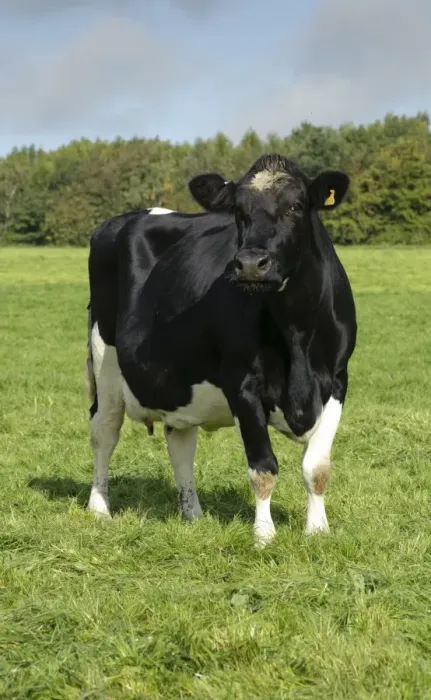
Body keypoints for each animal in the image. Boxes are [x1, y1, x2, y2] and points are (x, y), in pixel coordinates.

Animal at [86, 154, 357, 546]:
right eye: (239, 211)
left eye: (296, 206)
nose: (250, 264)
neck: (297, 330)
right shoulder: (242, 385)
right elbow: (263, 468)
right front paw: (264, 536)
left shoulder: (337, 380)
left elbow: (317, 467)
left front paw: (318, 531)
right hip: (104, 359)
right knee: (104, 431)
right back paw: (99, 509)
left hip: (177, 380)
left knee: (180, 441)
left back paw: (192, 514)